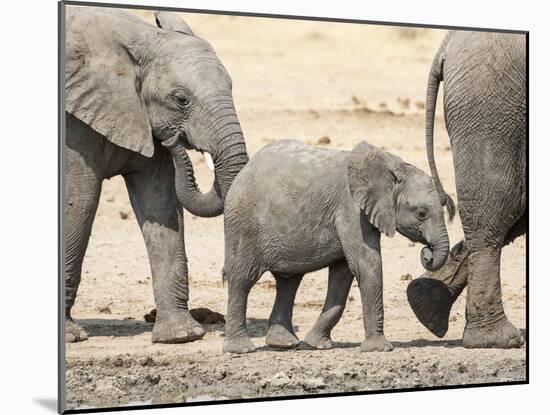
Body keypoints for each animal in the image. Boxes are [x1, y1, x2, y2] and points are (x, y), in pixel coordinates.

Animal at [63, 8, 250, 344]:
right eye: (181, 100)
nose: (175, 139)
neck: (142, 38)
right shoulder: (74, 121)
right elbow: (80, 202)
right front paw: (70, 337)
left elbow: (161, 202)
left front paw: (181, 336)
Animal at [222, 141, 454, 354]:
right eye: (421, 212)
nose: (427, 253)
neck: (393, 166)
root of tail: (243, 171)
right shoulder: (351, 208)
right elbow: (366, 264)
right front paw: (379, 349)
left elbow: (343, 274)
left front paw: (317, 345)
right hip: (243, 224)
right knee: (242, 279)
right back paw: (241, 349)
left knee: (288, 281)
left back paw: (284, 343)